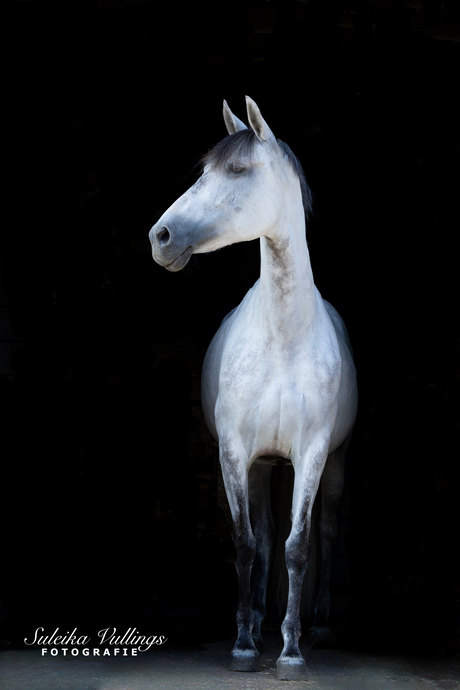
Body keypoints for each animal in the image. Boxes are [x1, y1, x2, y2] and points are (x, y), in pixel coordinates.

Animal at [149, 97, 358, 681]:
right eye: (203, 172)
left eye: (238, 170)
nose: (161, 237)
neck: (283, 338)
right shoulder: (236, 453)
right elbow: (247, 545)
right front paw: (245, 644)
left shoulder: (312, 454)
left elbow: (298, 547)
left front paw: (291, 653)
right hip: (263, 466)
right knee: (263, 538)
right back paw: (262, 622)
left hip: (332, 463)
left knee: (325, 532)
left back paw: (321, 625)